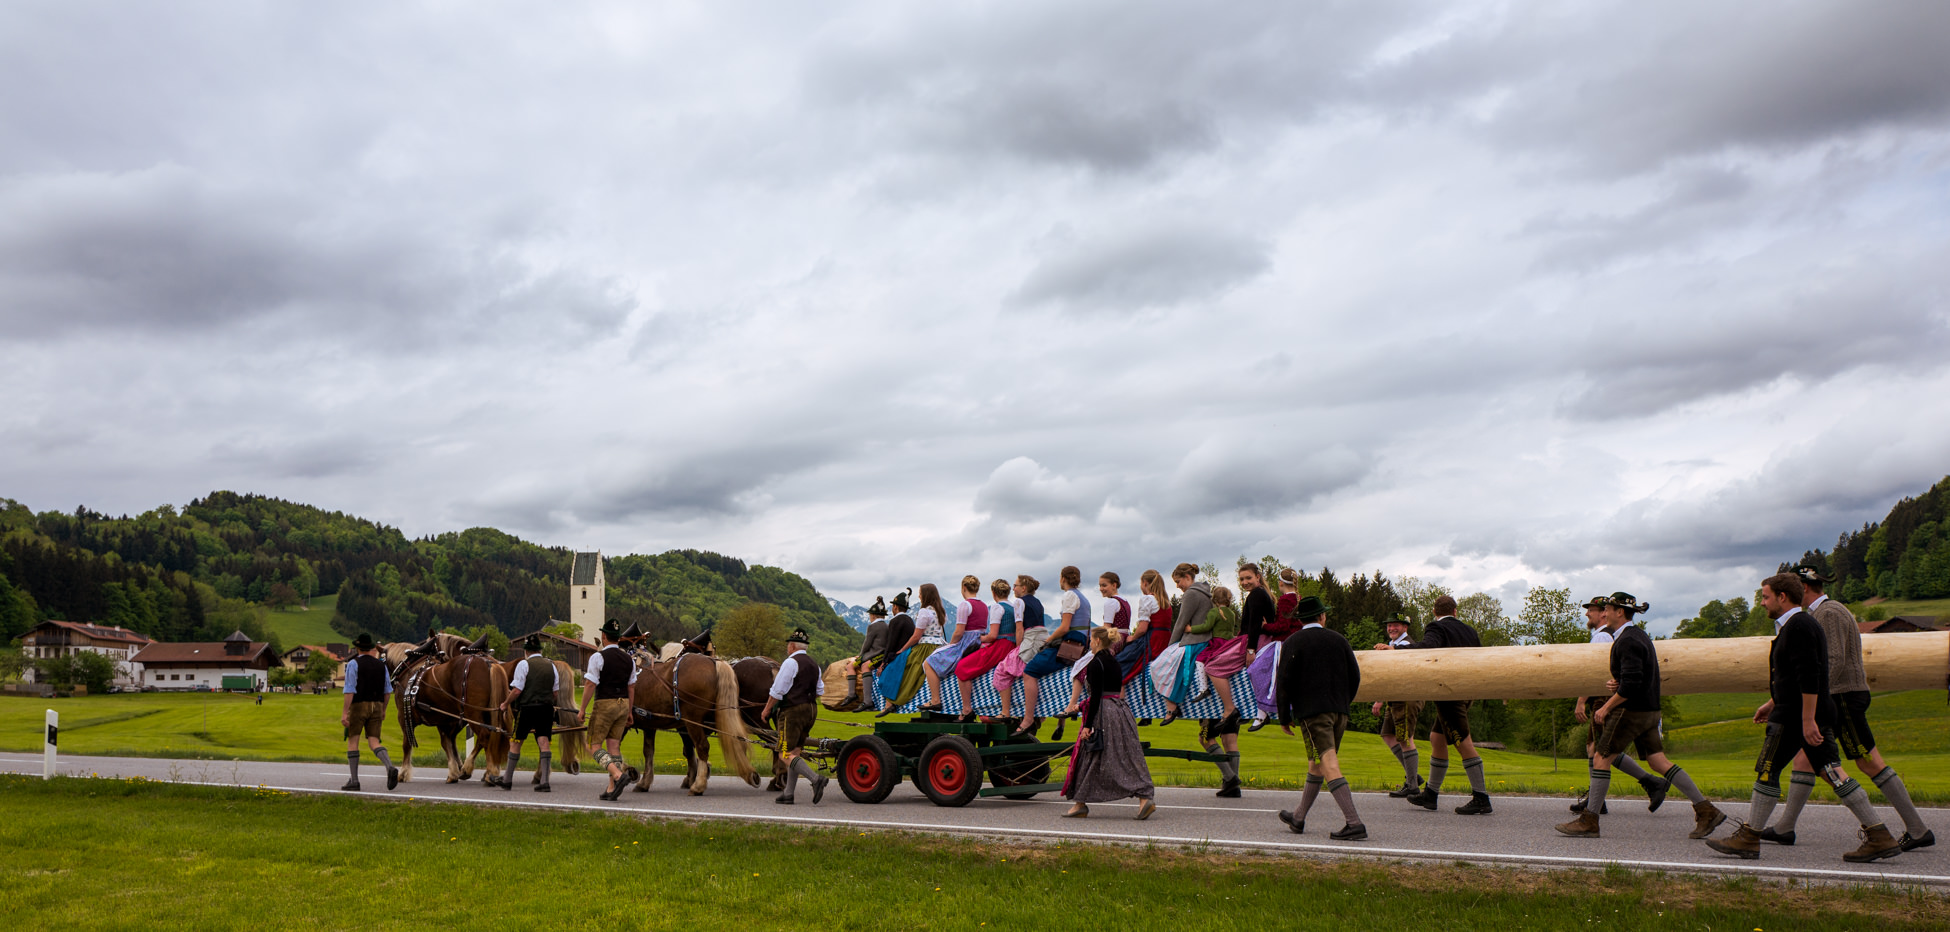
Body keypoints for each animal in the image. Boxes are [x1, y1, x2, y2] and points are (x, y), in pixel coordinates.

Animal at [387, 637, 510, 785]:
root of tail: (490, 664)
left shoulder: (404, 717)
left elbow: (407, 745)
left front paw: (403, 773)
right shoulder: (445, 721)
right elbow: (449, 744)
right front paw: (456, 770)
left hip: (473, 713)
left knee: (485, 736)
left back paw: (486, 772)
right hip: (487, 713)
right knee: (490, 736)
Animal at [628, 651, 757, 795]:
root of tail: (714, 661)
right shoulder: (649, 725)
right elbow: (648, 751)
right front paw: (644, 782)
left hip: (693, 720)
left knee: (702, 746)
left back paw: (698, 785)